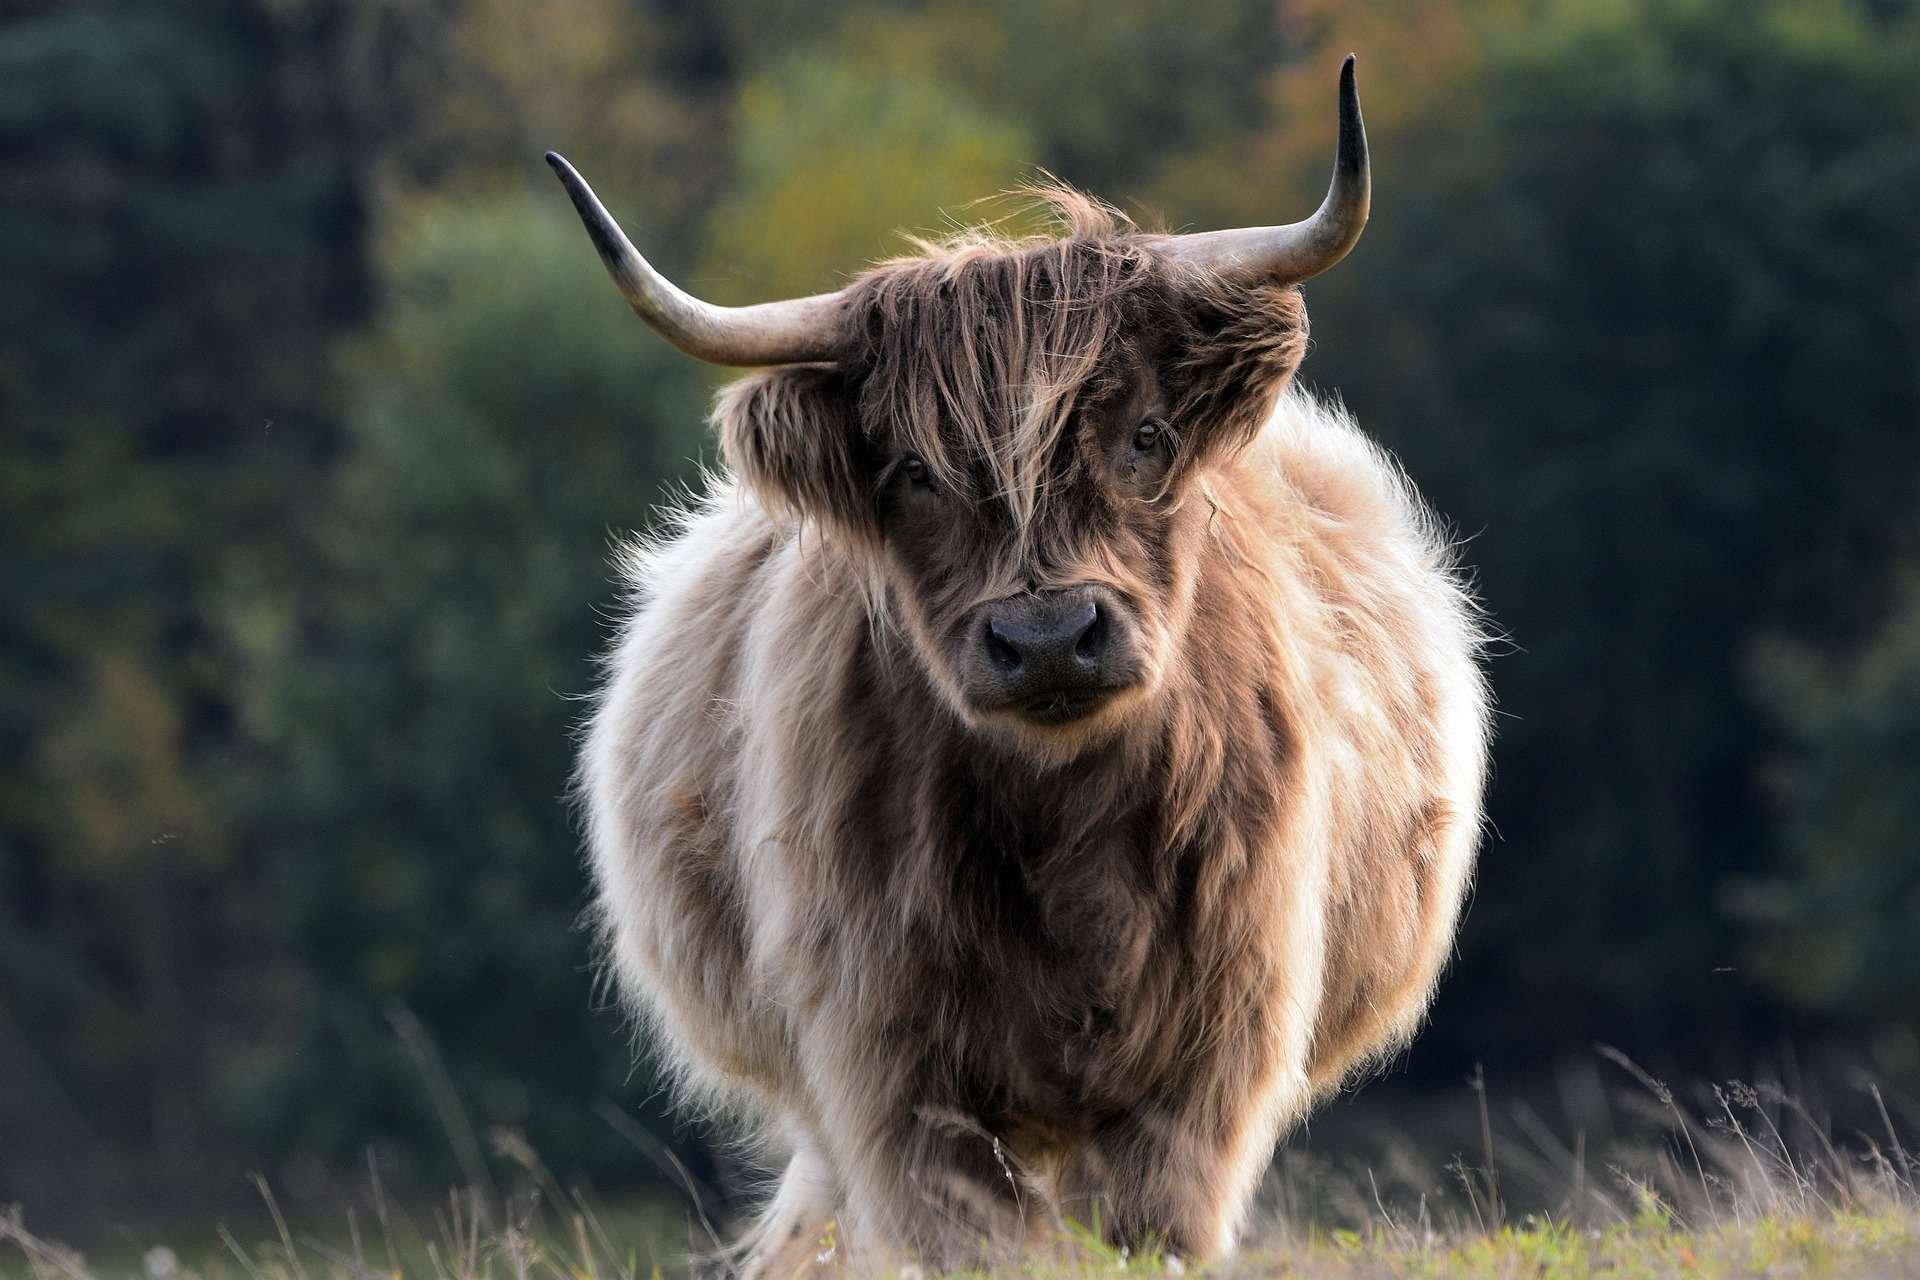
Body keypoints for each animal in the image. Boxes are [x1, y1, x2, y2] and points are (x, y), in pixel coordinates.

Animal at [555, 56, 1489, 1274]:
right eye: (911, 471)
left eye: (1147, 436)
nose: (1047, 637)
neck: (1066, 837)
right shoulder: (891, 1071)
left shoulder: (1203, 1071)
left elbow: (1147, 1226)